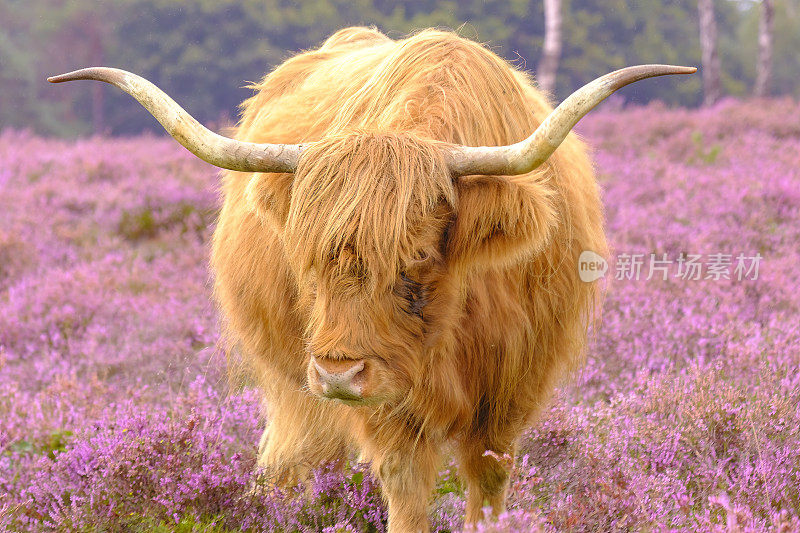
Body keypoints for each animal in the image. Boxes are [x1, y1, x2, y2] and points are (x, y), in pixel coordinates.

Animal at [50, 26, 692, 532]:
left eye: (417, 260)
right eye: (307, 262)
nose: (339, 373)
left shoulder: (507, 398)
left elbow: (486, 490)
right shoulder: (389, 408)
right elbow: (405, 495)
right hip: (293, 385)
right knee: (293, 460)